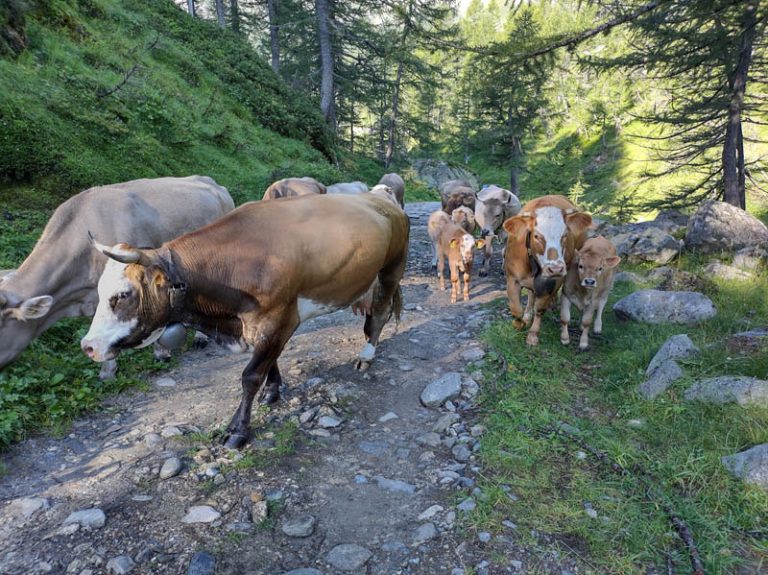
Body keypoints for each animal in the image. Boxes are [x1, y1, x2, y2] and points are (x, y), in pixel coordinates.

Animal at [81, 194, 412, 450]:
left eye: (122, 295)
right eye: (99, 291)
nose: (88, 346)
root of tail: (383, 200)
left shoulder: (278, 318)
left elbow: (251, 375)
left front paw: (237, 430)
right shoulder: (264, 325)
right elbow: (270, 361)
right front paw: (273, 391)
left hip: (391, 269)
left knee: (379, 314)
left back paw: (366, 355)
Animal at [500, 194, 592, 346]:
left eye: (564, 235)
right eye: (536, 236)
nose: (555, 268)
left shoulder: (555, 280)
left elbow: (540, 307)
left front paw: (533, 334)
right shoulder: (512, 278)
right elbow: (516, 309)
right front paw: (519, 323)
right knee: (531, 294)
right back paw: (528, 315)